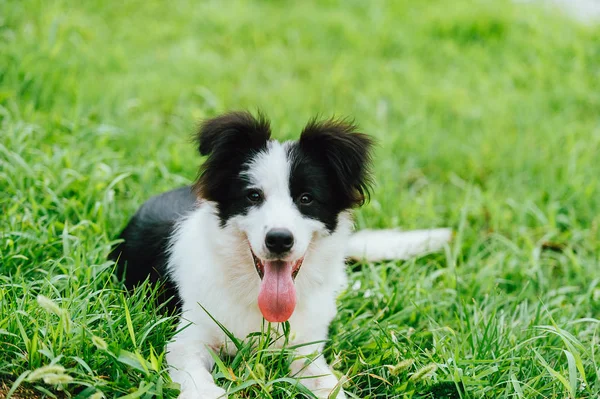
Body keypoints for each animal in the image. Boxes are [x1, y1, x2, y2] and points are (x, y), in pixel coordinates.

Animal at [111, 112, 450, 399]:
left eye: (306, 198)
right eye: (253, 196)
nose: (279, 240)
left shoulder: (305, 349)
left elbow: (327, 384)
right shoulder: (188, 337)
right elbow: (194, 372)